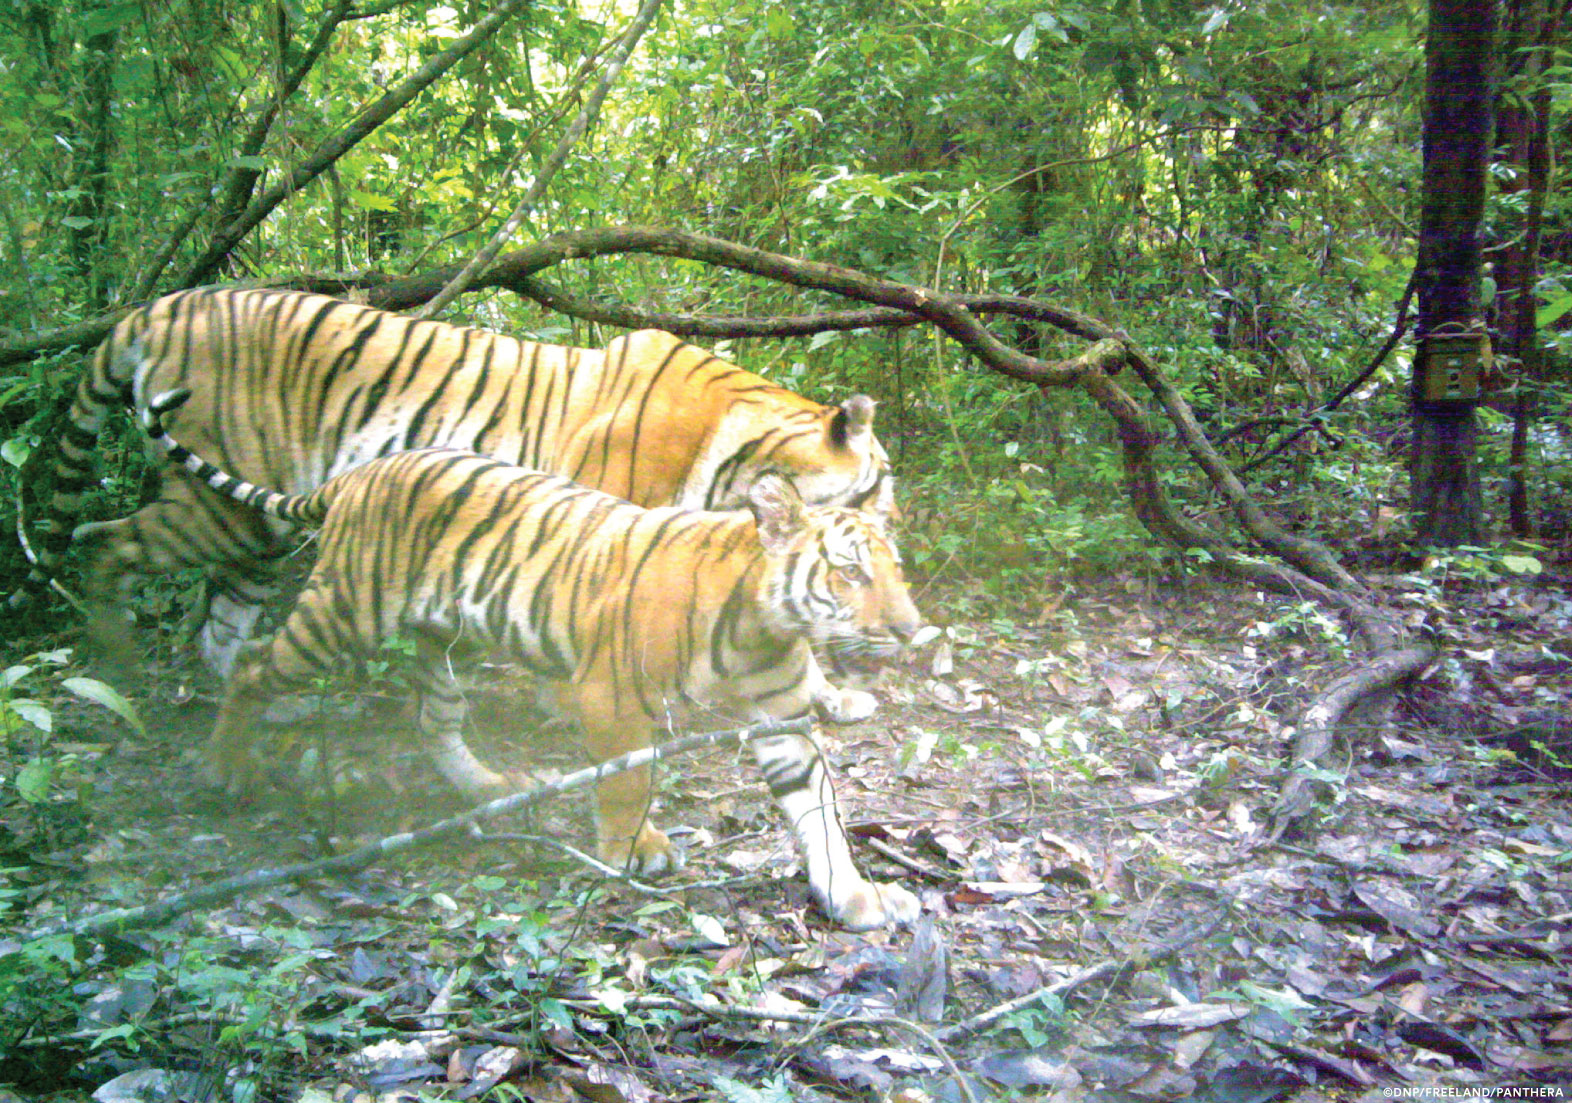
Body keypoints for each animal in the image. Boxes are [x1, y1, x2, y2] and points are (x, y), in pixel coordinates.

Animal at [9, 289, 899, 678]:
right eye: (880, 486)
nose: (898, 532)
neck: (746, 448)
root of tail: (161, 304)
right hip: (220, 505)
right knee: (101, 543)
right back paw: (117, 666)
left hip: (253, 524)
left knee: (221, 623)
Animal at [143, 389, 924, 930]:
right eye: (850, 572)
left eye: (894, 570)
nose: (912, 629)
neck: (763, 626)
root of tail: (360, 475)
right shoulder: (609, 693)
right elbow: (630, 778)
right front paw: (633, 848)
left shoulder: (782, 721)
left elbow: (821, 817)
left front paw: (856, 896)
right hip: (343, 613)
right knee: (252, 663)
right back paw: (226, 768)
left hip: (443, 638)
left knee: (434, 718)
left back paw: (487, 785)